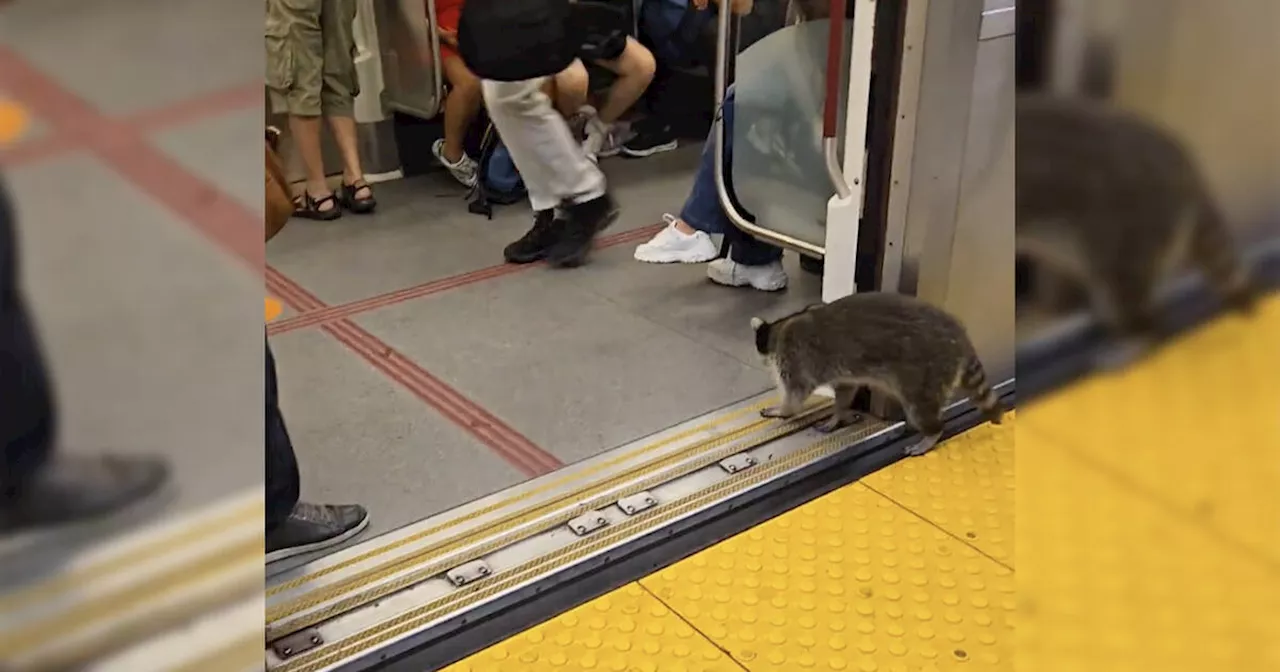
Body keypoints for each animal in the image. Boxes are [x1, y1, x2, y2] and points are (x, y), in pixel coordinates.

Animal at [747, 291, 1008, 455]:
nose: (761, 361)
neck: (781, 327)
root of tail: (959, 336)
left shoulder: (795, 356)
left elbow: (796, 392)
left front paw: (783, 410)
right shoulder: (840, 372)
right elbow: (845, 390)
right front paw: (838, 414)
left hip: (927, 372)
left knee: (920, 408)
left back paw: (932, 432)